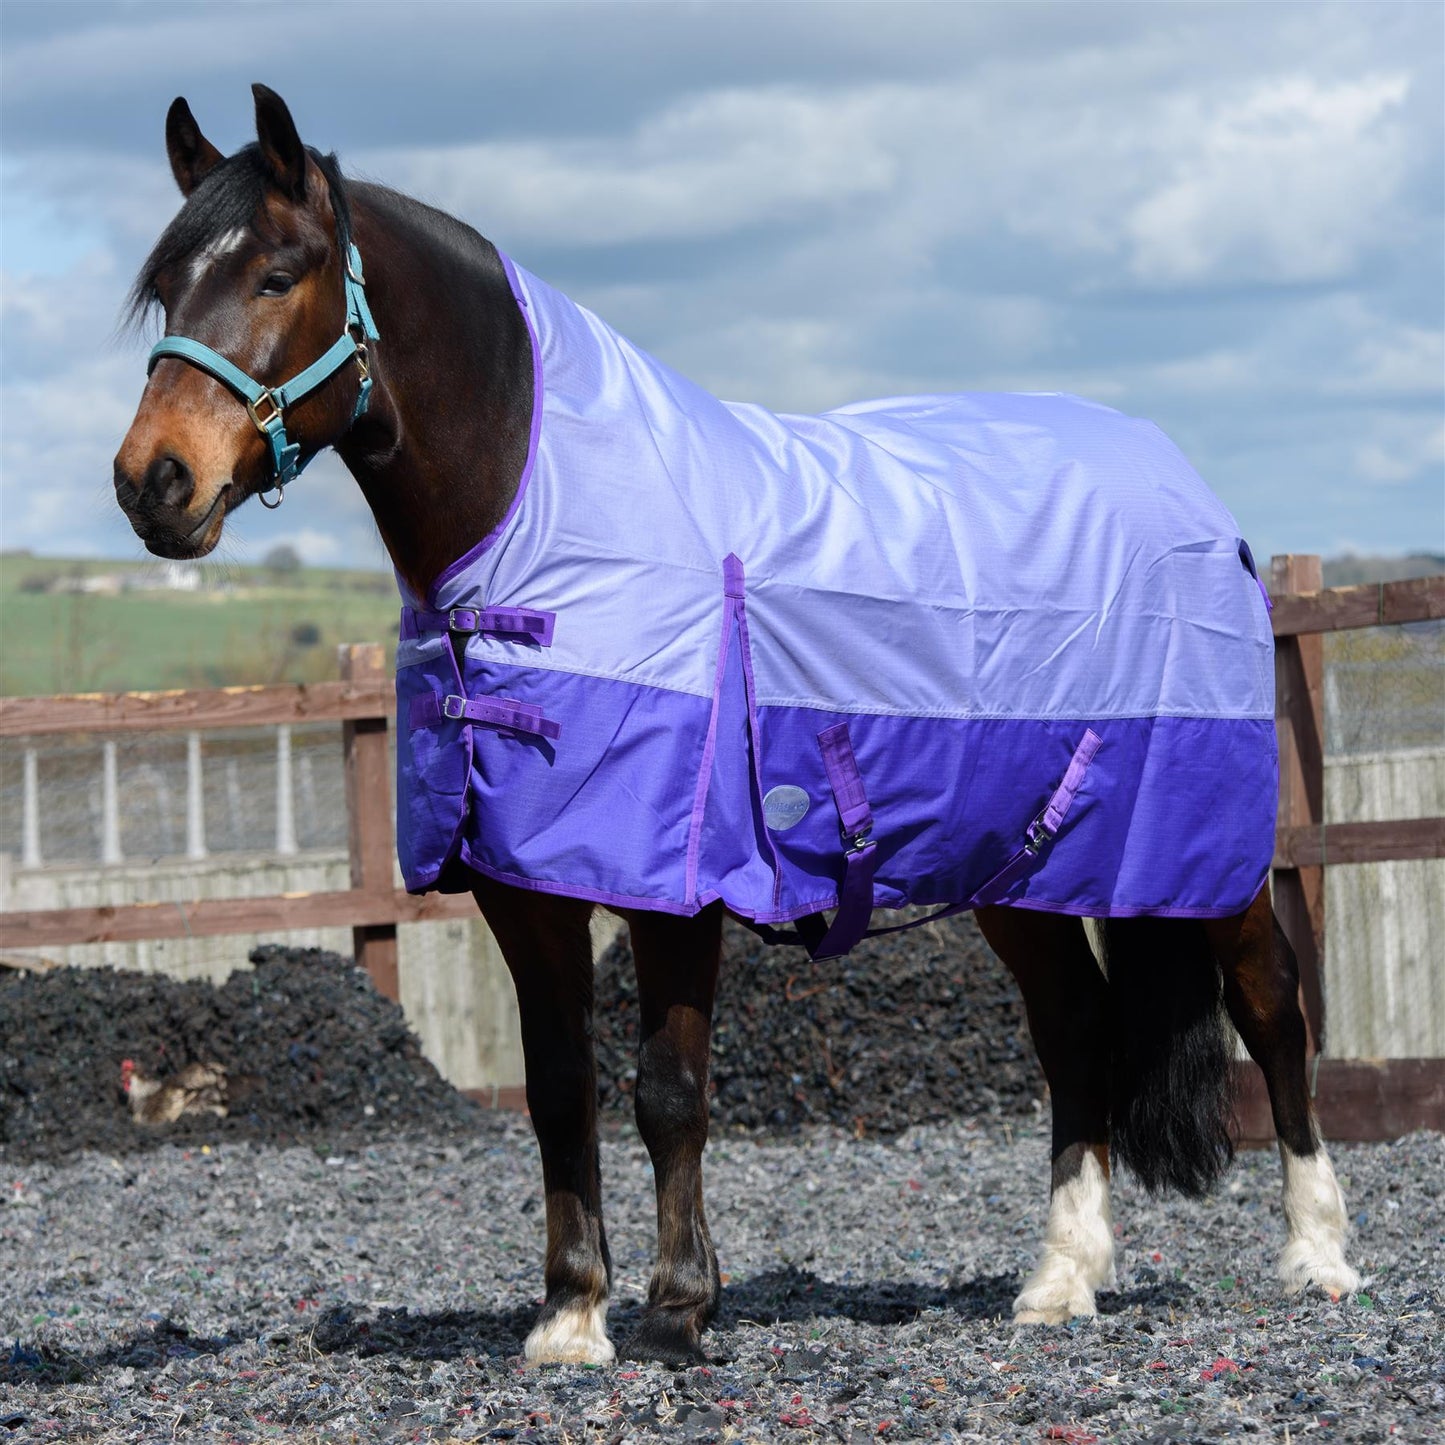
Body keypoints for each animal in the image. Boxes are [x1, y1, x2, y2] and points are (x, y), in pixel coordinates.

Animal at [113, 85, 1360, 1366]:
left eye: (277, 275)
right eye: (165, 292)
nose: (153, 483)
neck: (543, 526)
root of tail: (1187, 491)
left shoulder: (681, 883)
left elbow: (667, 1087)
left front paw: (677, 1305)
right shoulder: (525, 886)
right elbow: (558, 1090)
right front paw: (570, 1313)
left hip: (1202, 851)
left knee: (1271, 1004)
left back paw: (1315, 1254)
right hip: (1021, 869)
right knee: (1073, 1029)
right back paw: (1060, 1274)